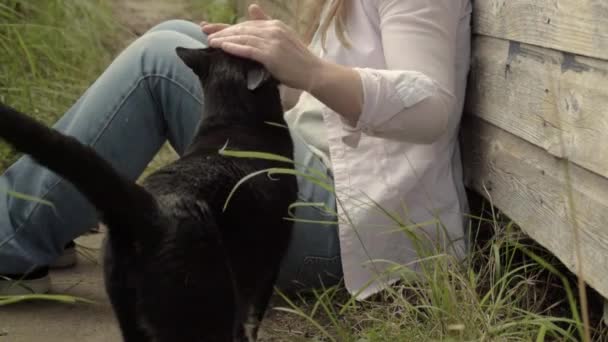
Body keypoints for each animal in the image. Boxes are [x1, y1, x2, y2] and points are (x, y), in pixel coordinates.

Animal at [0, 46, 296, 340]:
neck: (234, 123)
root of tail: (147, 210)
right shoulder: (269, 264)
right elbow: (253, 317)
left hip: (130, 315)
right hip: (206, 305)